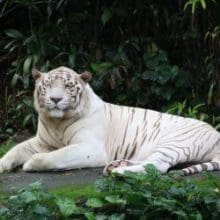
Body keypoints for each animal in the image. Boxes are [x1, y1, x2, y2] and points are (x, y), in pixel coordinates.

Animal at [0, 65, 220, 175]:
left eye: (68, 86)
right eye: (48, 85)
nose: (55, 99)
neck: (57, 123)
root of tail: (216, 133)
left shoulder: (90, 148)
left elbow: (50, 157)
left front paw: (29, 164)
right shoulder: (41, 142)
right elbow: (14, 150)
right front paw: (3, 165)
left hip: (175, 142)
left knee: (157, 166)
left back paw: (118, 171)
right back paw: (117, 165)